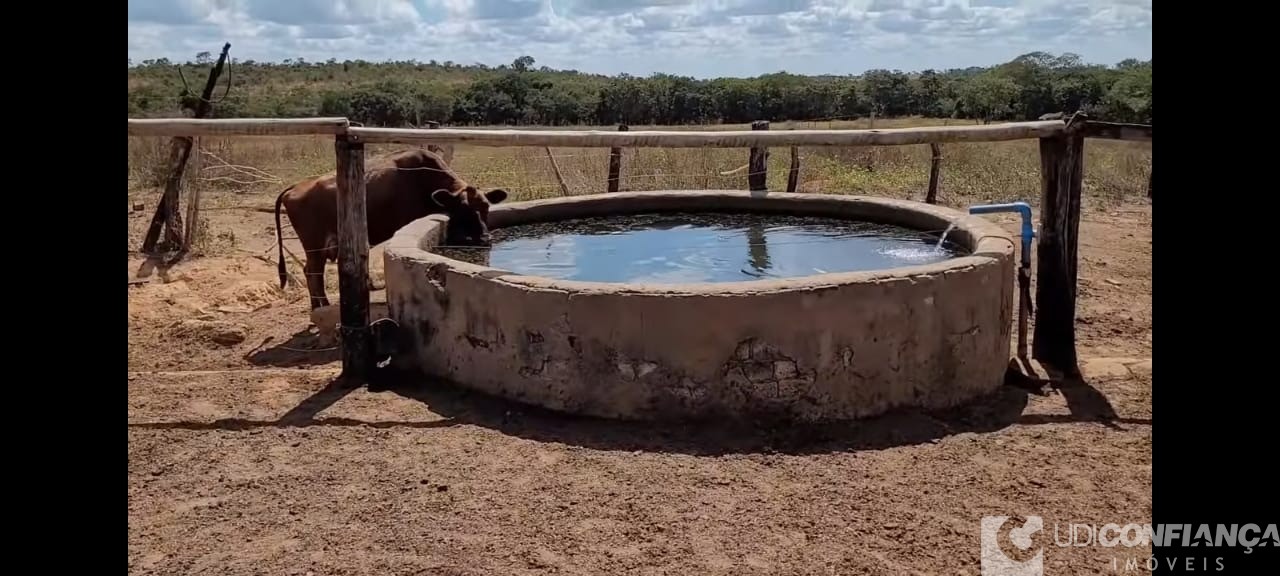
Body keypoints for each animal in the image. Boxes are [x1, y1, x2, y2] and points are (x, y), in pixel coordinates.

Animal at [272, 151, 506, 308]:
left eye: (486, 206)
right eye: (462, 209)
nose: (484, 238)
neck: (423, 181)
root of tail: (295, 187)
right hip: (315, 247)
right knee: (312, 273)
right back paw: (321, 306)